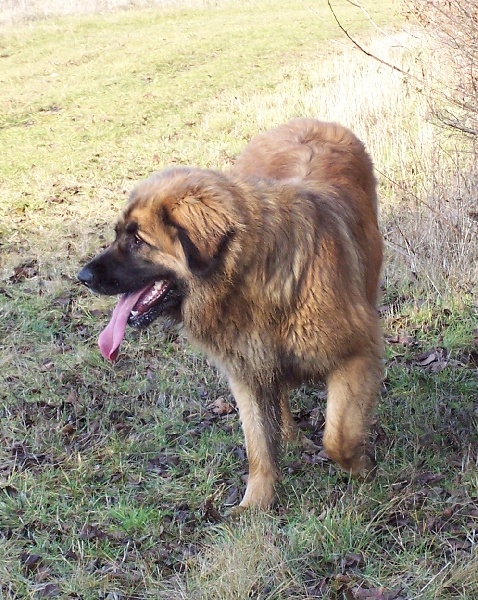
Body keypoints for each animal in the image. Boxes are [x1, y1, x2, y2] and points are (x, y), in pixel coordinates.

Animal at [78, 118, 383, 512]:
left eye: (138, 240)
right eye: (118, 234)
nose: (82, 277)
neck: (247, 280)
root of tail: (306, 122)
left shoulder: (355, 355)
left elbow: (338, 438)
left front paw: (362, 469)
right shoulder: (245, 370)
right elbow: (258, 445)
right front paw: (257, 504)